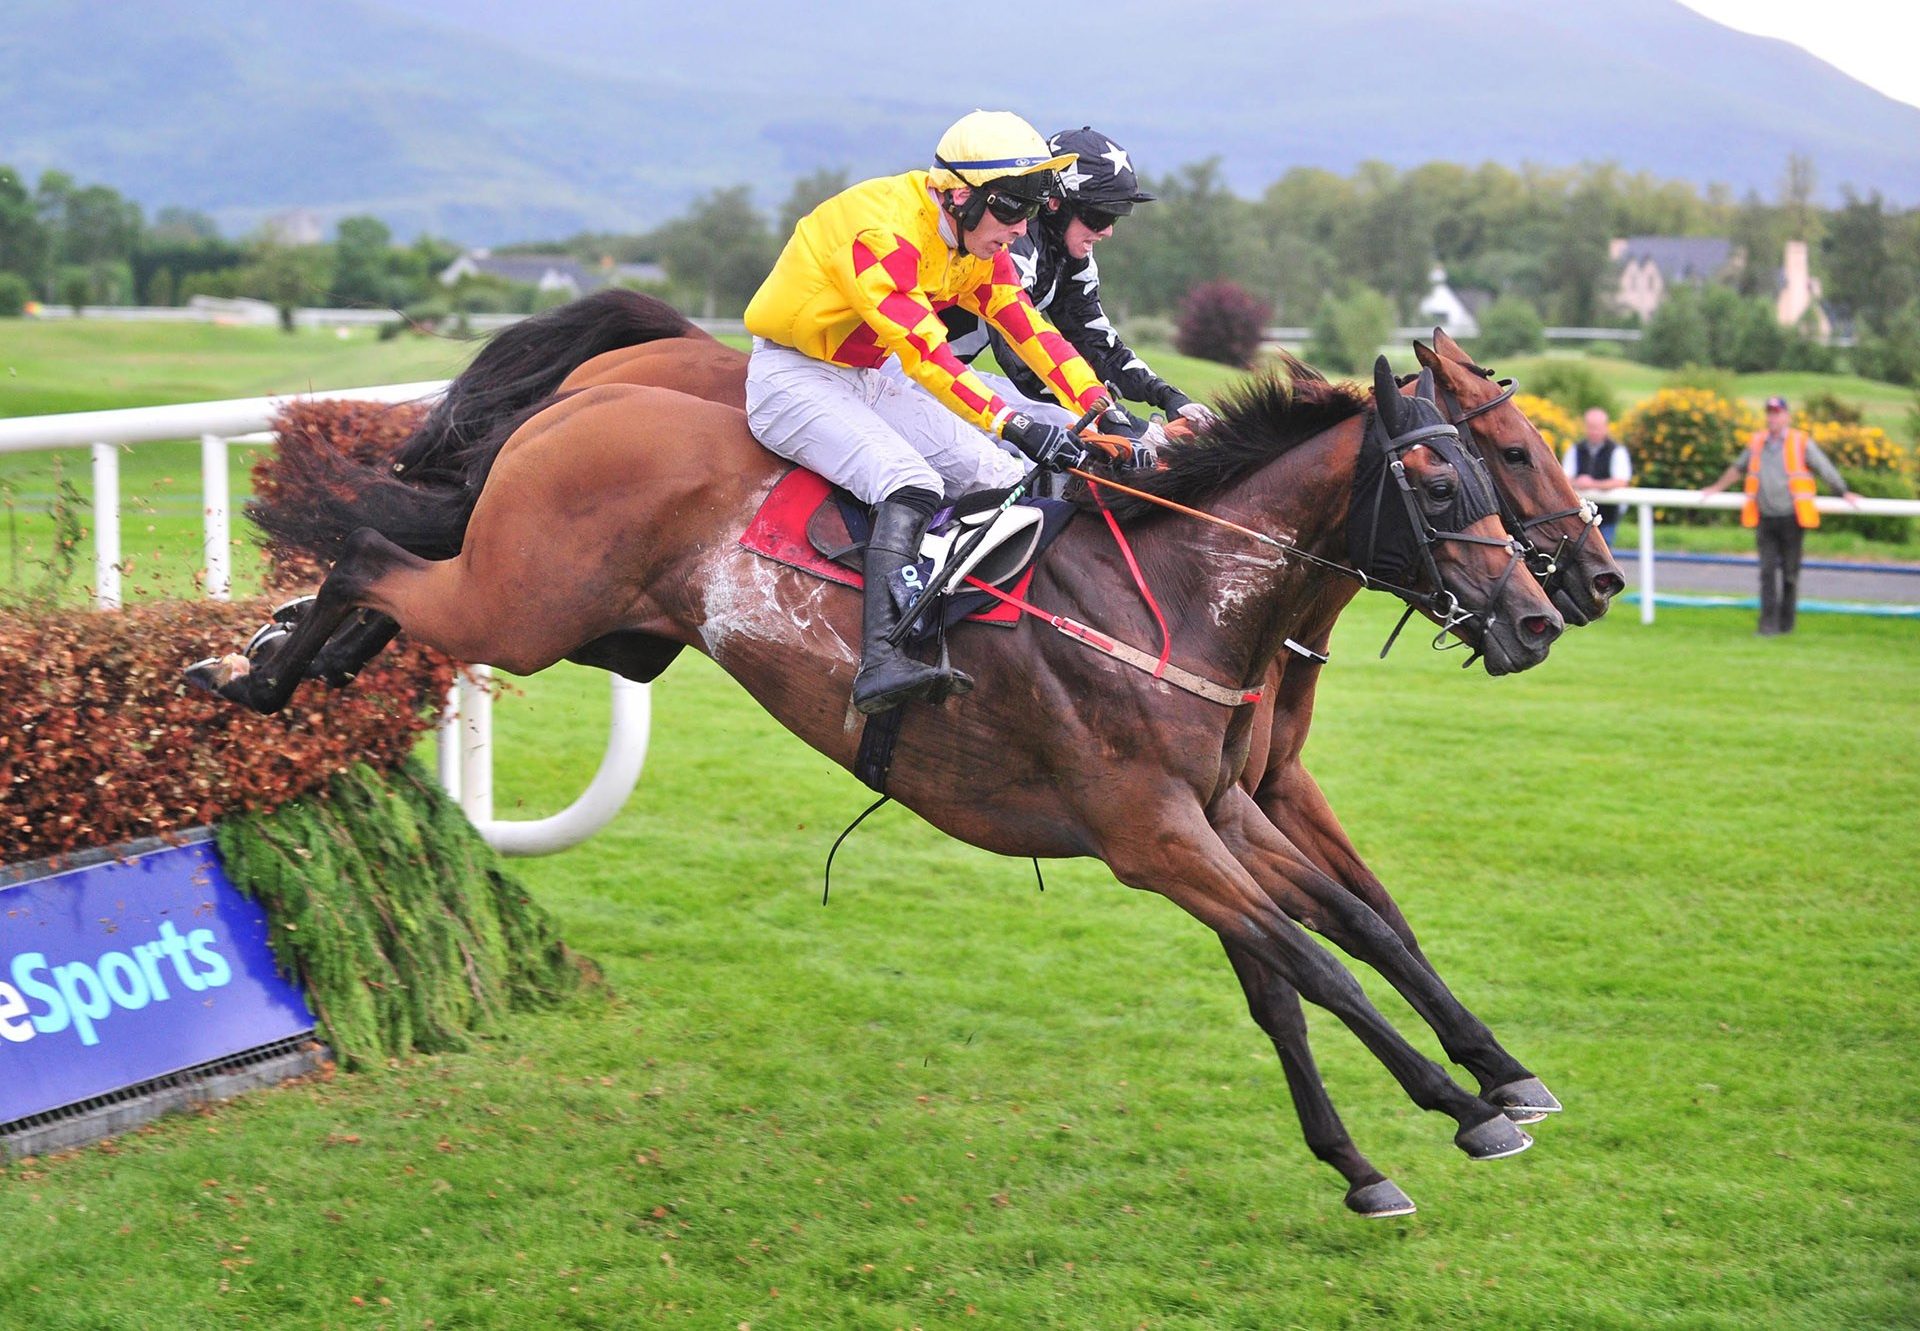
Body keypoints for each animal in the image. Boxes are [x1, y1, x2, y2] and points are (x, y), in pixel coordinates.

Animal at [194, 355, 1566, 1213]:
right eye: (1450, 475)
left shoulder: (1221, 810)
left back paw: (271, 657)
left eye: (1505, 467)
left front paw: (1431, 1114)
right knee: (370, 549)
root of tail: (585, 399)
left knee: (388, 563)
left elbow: (1331, 946)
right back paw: (256, 668)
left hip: (594, 623)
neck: (1174, 598)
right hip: (522, 604)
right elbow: (1319, 962)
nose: (1545, 614)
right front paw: (1459, 1103)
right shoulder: (1153, 834)